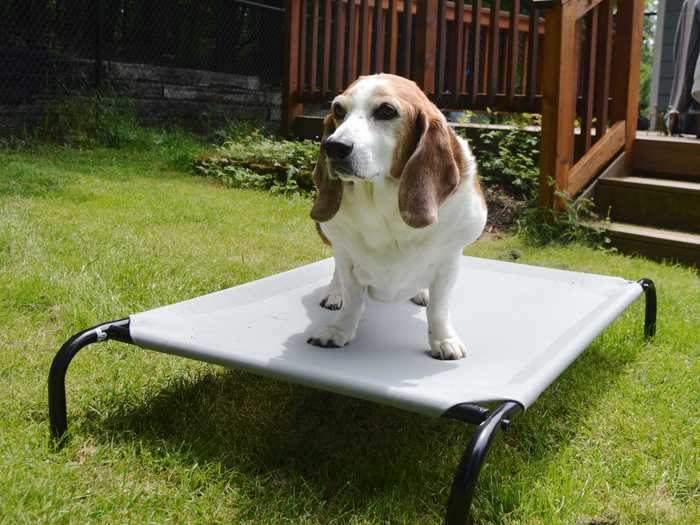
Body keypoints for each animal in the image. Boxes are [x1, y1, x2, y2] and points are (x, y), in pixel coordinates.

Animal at [306, 73, 486, 360]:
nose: (334, 146)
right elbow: (352, 297)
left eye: (386, 111)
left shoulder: (449, 258)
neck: (384, 204)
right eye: (338, 110)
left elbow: (439, 307)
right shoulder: (346, 254)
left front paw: (443, 339)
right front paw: (339, 330)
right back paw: (334, 293)